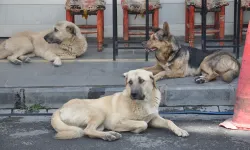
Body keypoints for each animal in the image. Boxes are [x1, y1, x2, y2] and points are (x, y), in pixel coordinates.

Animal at [51, 69, 190, 141]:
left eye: (141, 81)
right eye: (130, 82)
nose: (133, 94)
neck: (143, 102)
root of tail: (60, 109)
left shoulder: (154, 118)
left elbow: (169, 121)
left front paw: (180, 130)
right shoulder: (114, 121)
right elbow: (142, 123)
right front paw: (136, 129)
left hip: (100, 123)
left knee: (89, 131)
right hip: (99, 113)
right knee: (87, 130)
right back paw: (109, 135)